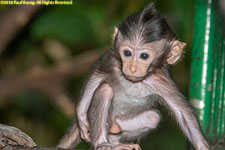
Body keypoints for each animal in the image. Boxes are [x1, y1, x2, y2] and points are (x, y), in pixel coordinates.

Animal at [57, 2, 208, 150]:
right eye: (127, 53)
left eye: (144, 56)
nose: (132, 68)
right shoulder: (112, 62)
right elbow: (97, 76)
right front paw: (81, 115)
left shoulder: (162, 82)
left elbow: (184, 114)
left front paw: (202, 145)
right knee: (105, 90)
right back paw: (102, 144)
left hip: (121, 123)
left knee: (153, 118)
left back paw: (115, 142)